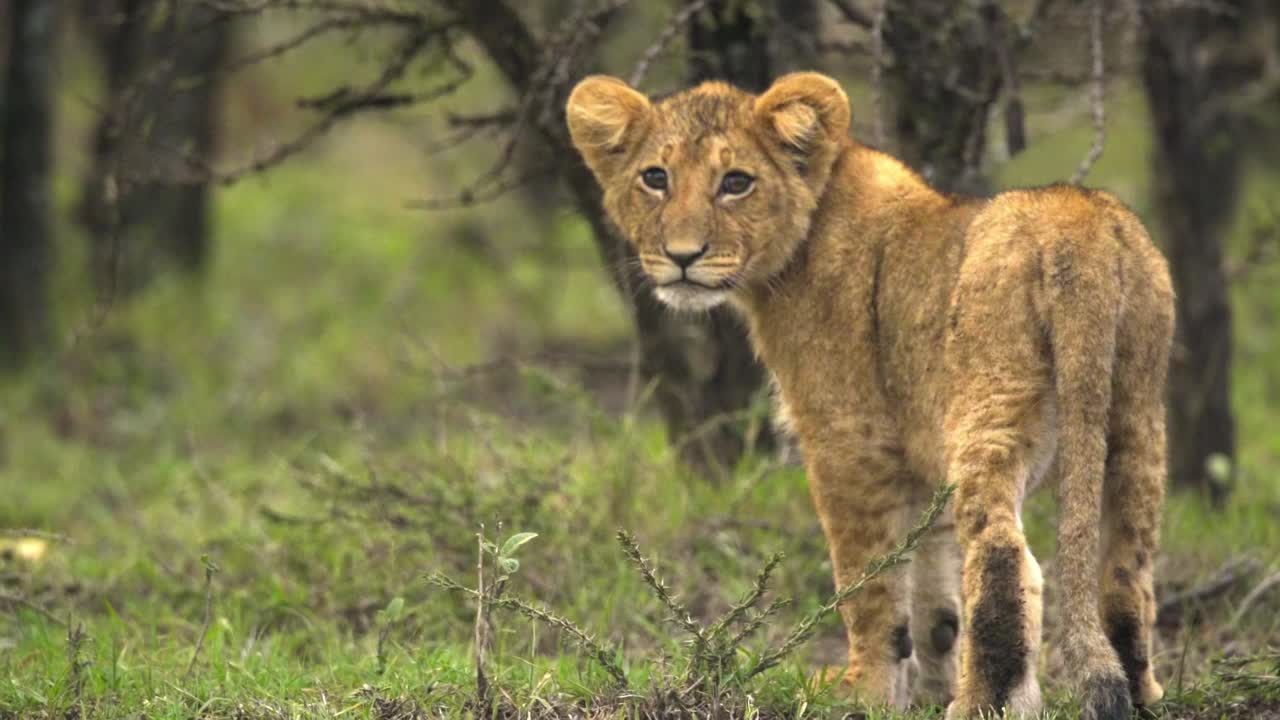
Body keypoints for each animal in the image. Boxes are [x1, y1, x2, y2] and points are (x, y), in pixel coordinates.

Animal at [565, 72, 1173, 719]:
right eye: (655, 177)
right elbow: (934, 593)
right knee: (1127, 570)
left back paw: (978, 704)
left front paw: (866, 690)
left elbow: (872, 583)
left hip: (994, 404)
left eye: (736, 183)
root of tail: (1077, 225)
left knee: (1002, 553)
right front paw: (926, 689)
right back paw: (1138, 691)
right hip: (1137, 414)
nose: (683, 257)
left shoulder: (848, 439)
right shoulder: (922, 457)